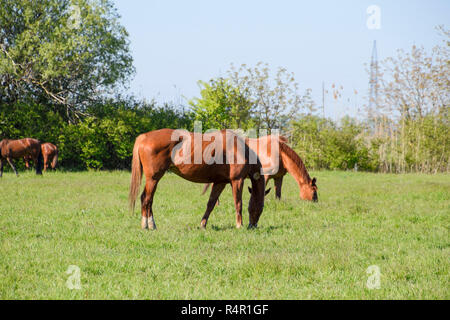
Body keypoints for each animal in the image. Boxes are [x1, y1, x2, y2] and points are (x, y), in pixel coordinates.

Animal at [128, 127, 268, 230]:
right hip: (153, 178)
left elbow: (211, 204)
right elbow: (238, 203)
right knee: (147, 199)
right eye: (261, 207)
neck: (237, 149)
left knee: (146, 199)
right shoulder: (237, 181)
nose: (252, 226)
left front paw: (203, 224)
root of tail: (144, 136)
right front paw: (239, 225)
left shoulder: (220, 182)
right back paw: (148, 225)